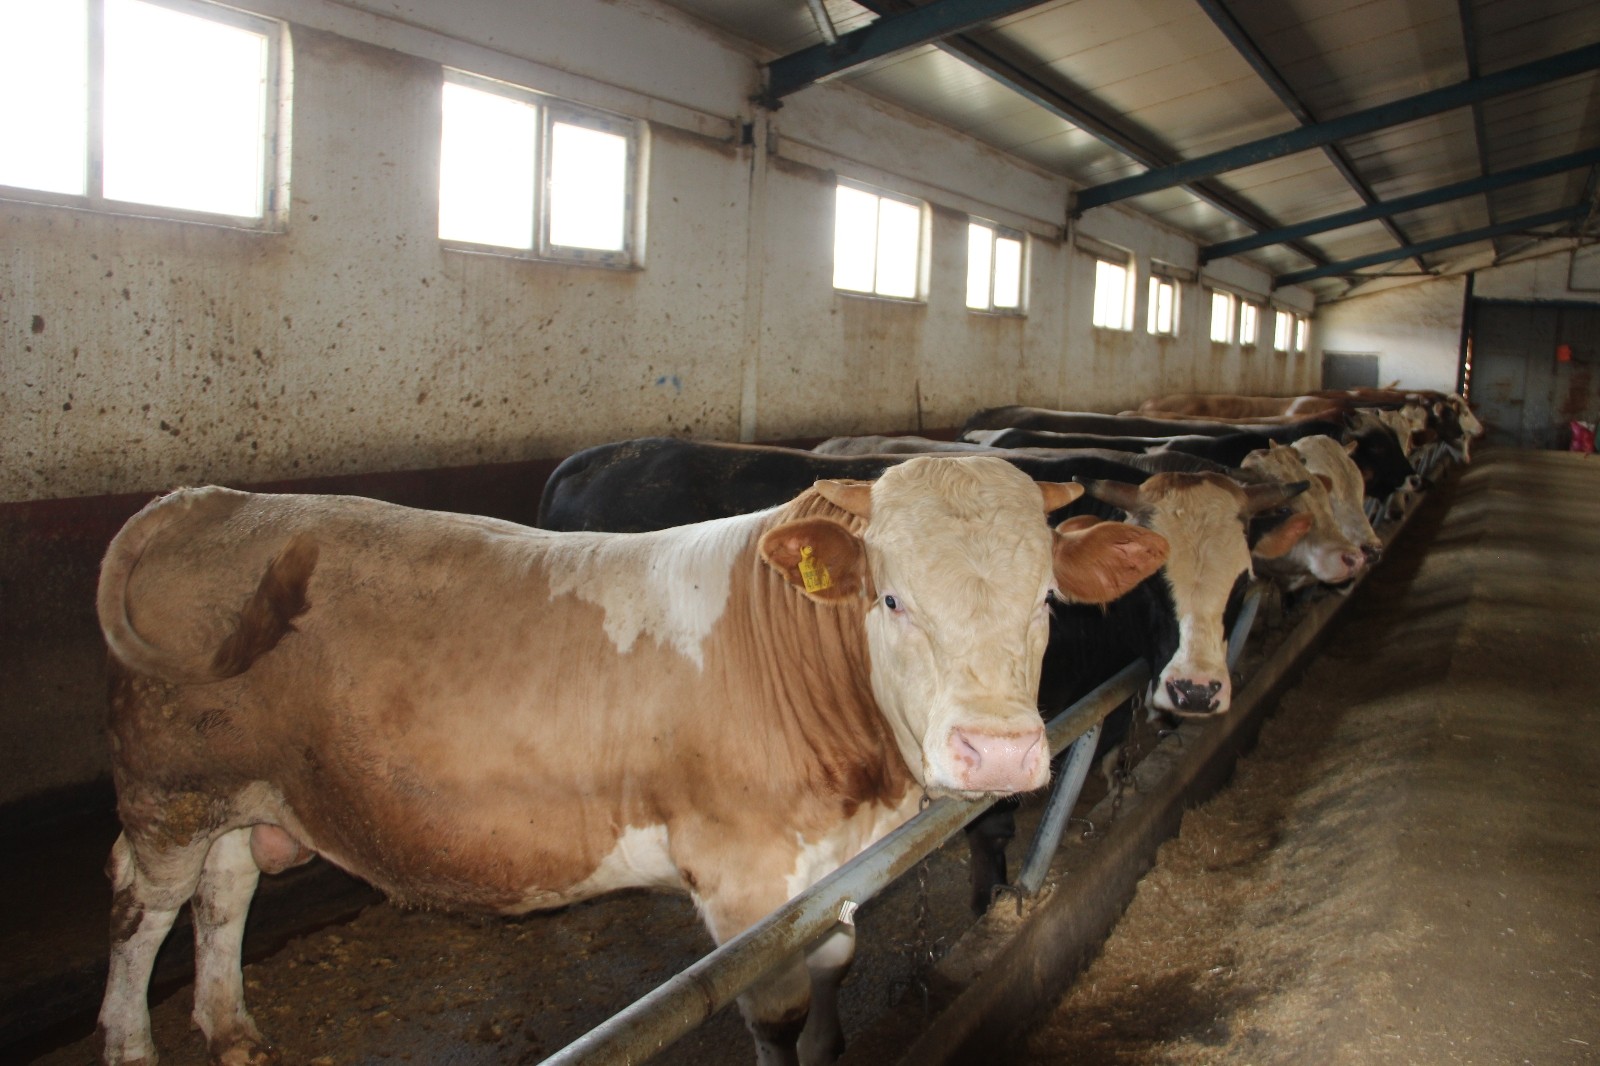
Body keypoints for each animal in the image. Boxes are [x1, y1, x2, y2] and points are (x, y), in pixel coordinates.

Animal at [93, 454, 1164, 1062]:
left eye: (1046, 600)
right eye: (891, 598)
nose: (1000, 754)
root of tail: (207, 498)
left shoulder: (828, 875)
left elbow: (833, 967)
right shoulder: (743, 879)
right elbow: (776, 1011)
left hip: (242, 789)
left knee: (225, 889)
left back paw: (230, 1027)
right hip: (167, 789)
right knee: (144, 907)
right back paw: (133, 1043)